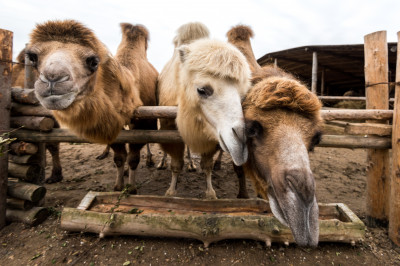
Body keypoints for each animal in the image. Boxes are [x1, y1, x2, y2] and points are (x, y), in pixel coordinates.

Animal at [26, 19, 158, 192]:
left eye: (93, 62)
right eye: (33, 57)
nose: (52, 79)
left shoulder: (144, 121)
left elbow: (134, 158)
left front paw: (131, 189)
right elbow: (119, 157)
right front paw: (118, 186)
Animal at [159, 22, 250, 197]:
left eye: (242, 95)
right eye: (202, 90)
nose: (242, 140)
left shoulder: (212, 136)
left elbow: (207, 166)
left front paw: (210, 193)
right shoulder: (168, 127)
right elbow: (176, 164)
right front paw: (171, 191)